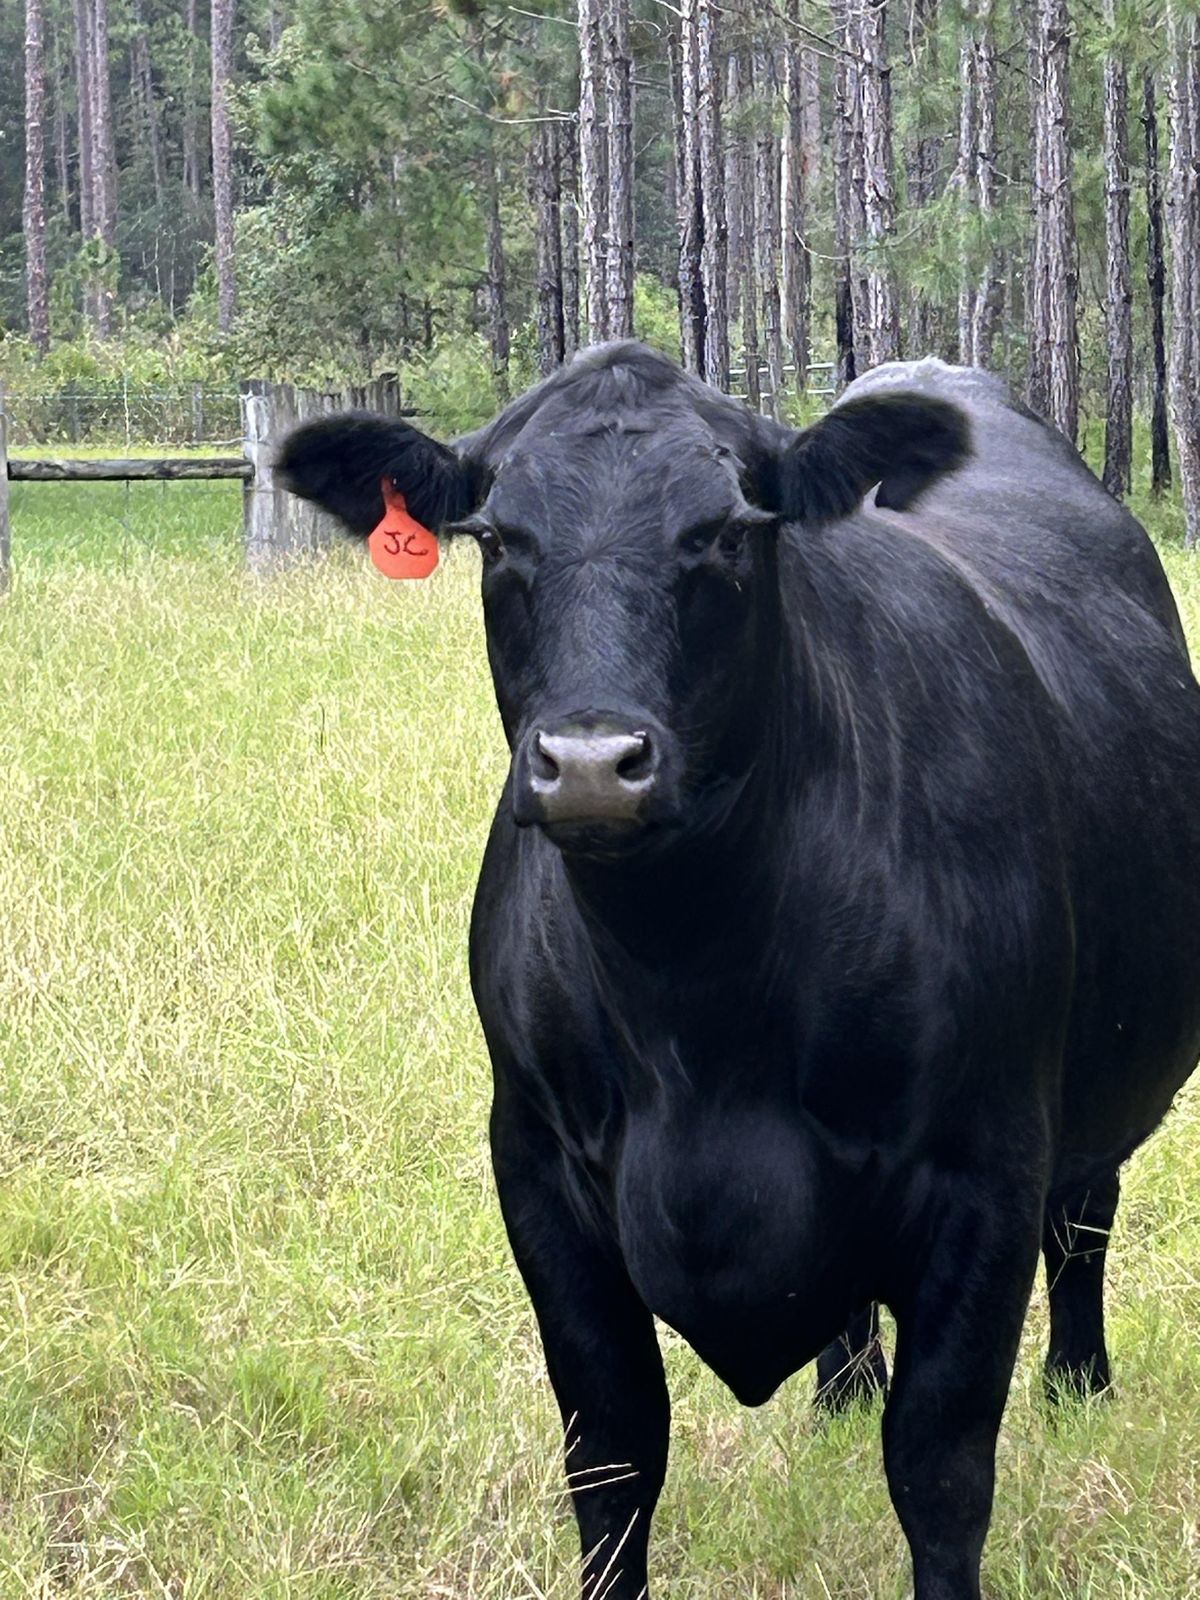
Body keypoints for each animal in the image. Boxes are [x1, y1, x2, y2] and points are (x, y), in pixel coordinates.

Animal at [276, 347, 1200, 1600]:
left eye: (721, 535)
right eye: (499, 539)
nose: (591, 764)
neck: (694, 1005)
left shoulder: (990, 1168)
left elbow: (943, 1466)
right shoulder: (536, 1166)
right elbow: (611, 1454)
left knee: (1086, 1218)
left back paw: (1078, 1385)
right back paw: (841, 1396)